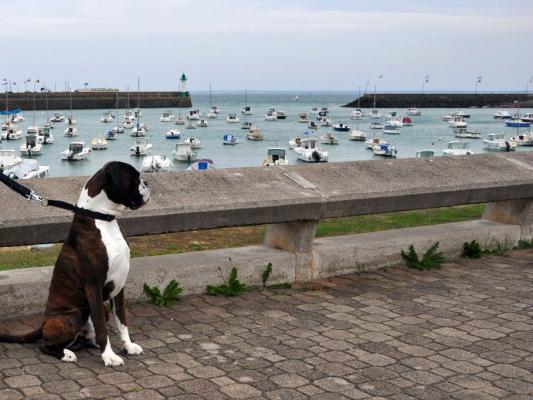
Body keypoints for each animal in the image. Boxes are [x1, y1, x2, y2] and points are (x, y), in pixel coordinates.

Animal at [0, 161, 150, 368]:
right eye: (135, 178)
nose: (147, 182)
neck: (102, 218)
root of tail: (44, 323)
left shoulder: (119, 287)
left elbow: (122, 321)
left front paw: (127, 347)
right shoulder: (94, 286)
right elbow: (103, 328)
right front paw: (109, 356)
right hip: (71, 317)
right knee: (45, 346)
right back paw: (67, 354)